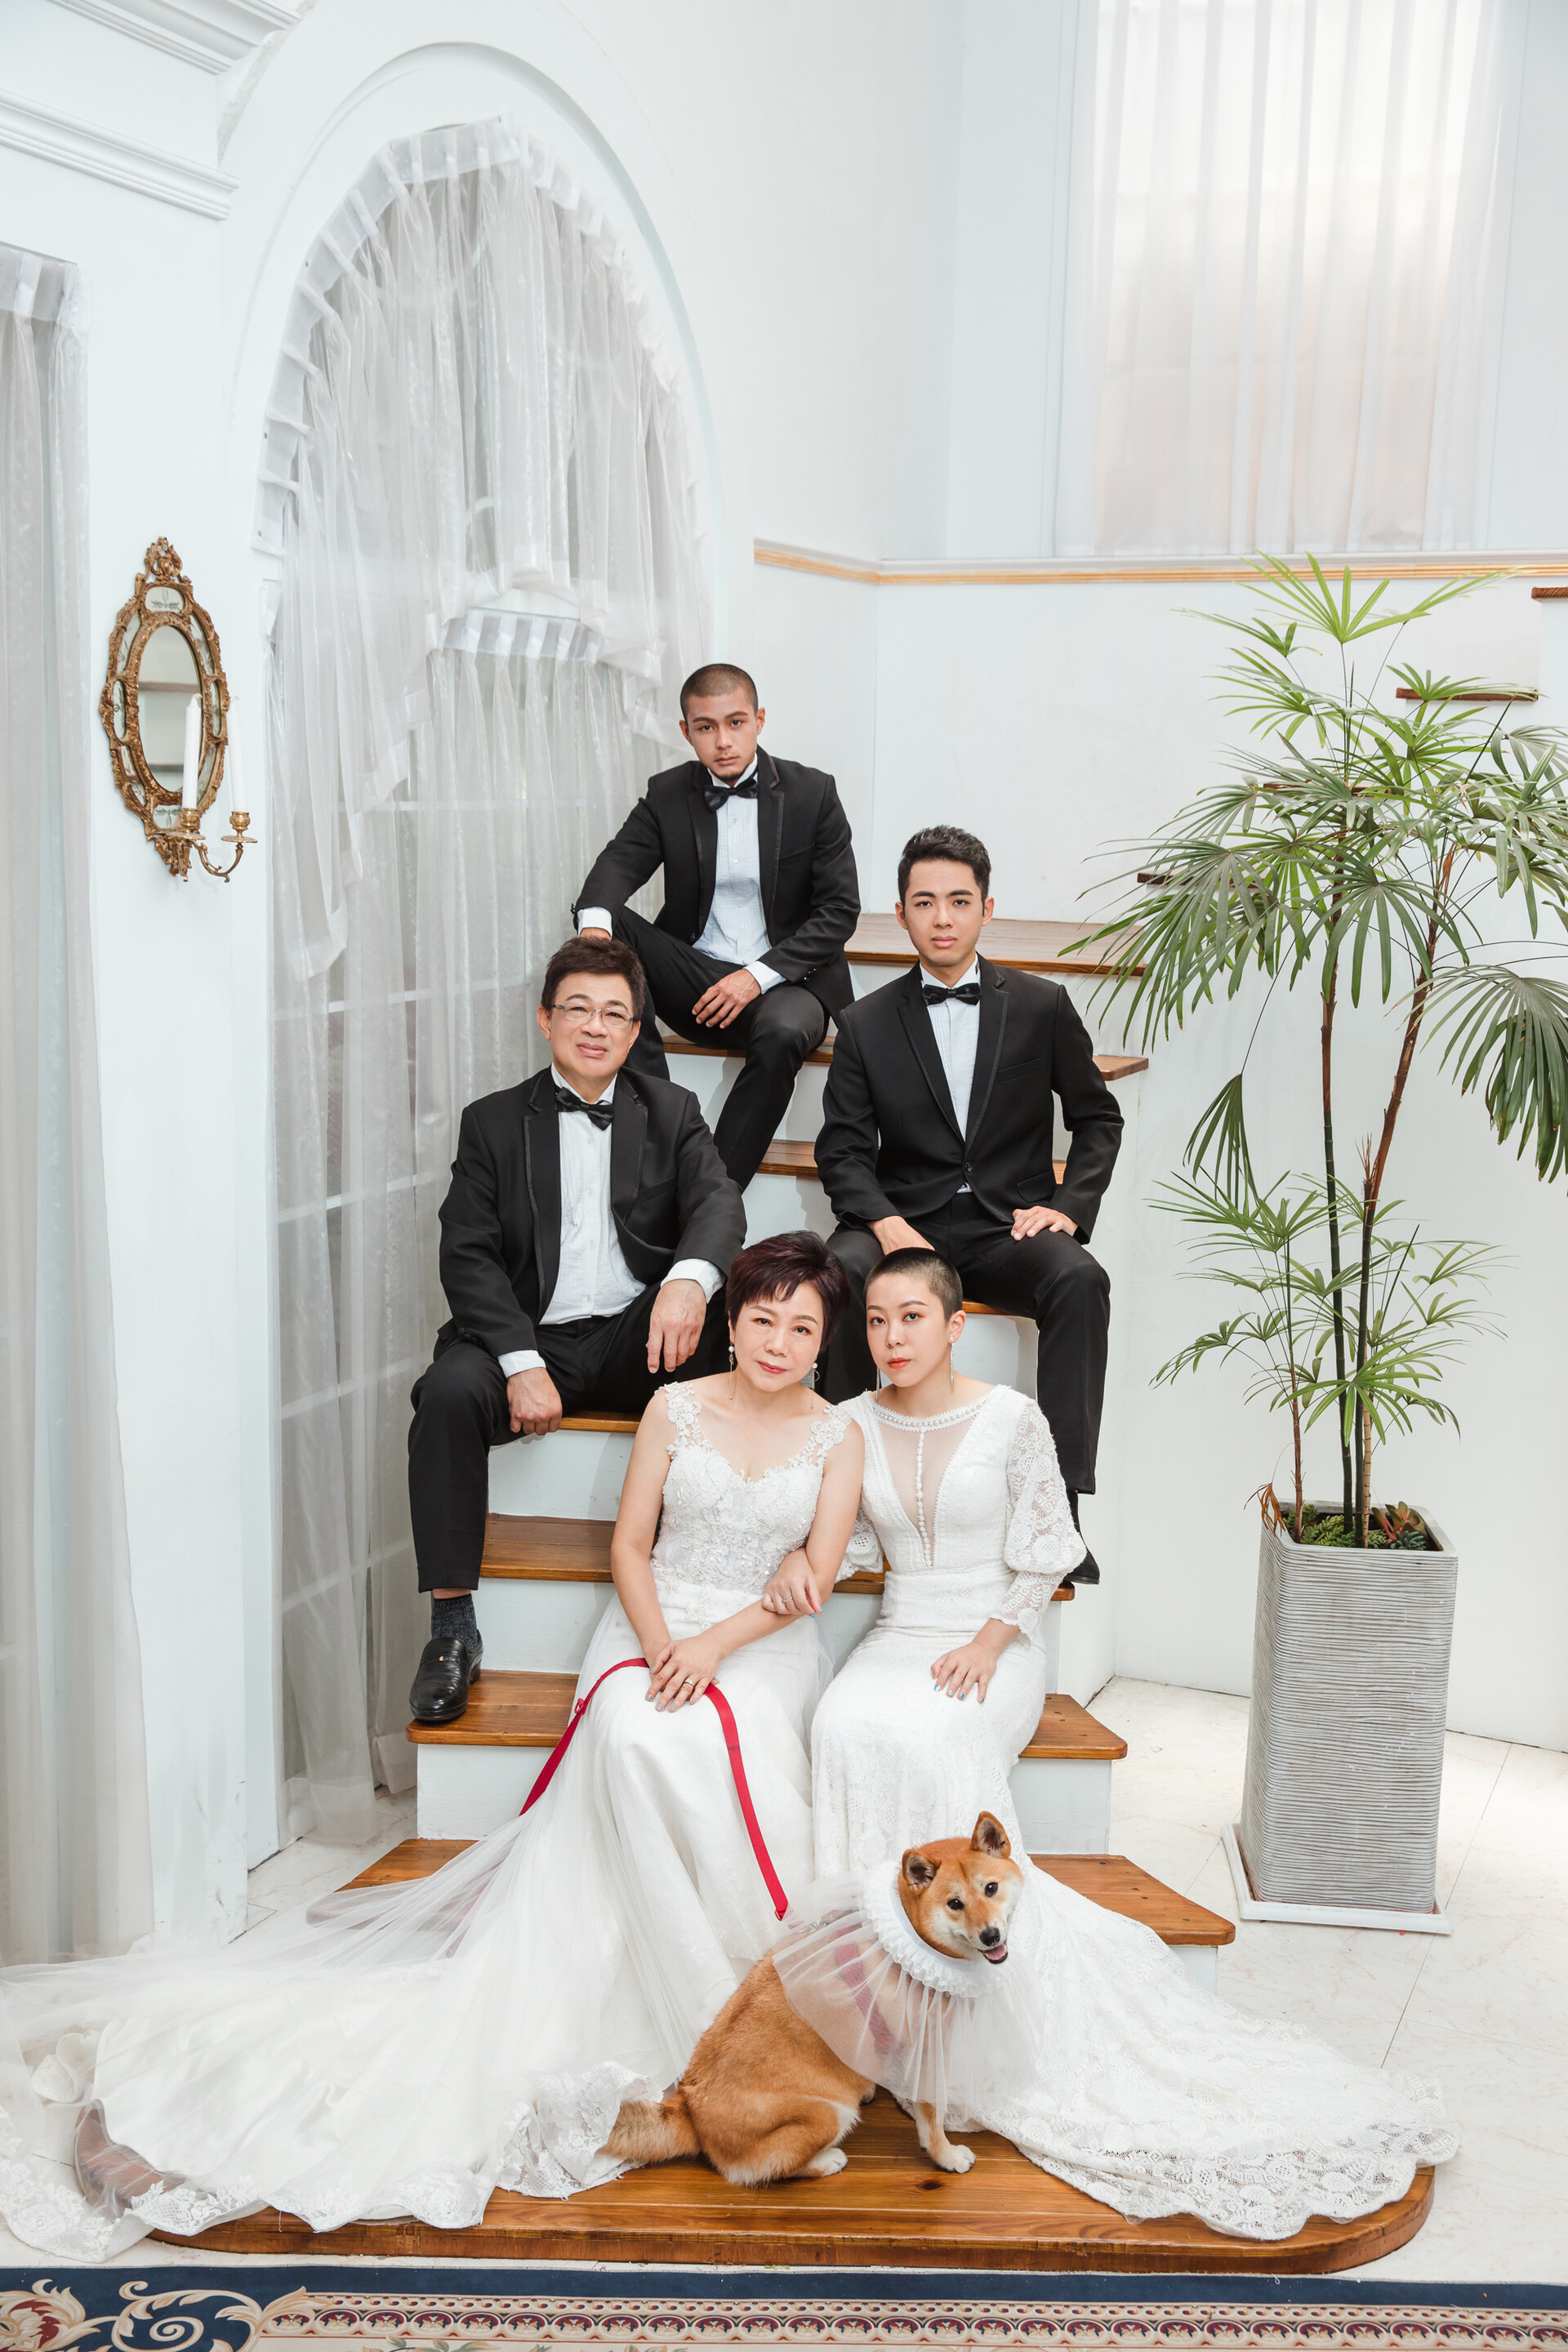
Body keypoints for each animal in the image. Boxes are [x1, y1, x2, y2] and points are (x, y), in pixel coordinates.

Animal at [603, 1811, 1023, 2185]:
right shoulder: (927, 2052)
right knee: (760, 2170)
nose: (991, 1936)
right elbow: (931, 2120)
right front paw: (946, 2156)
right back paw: (825, 2161)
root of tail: (690, 2107)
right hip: (830, 2113)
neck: (909, 1937)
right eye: (955, 1904)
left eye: (990, 1889)